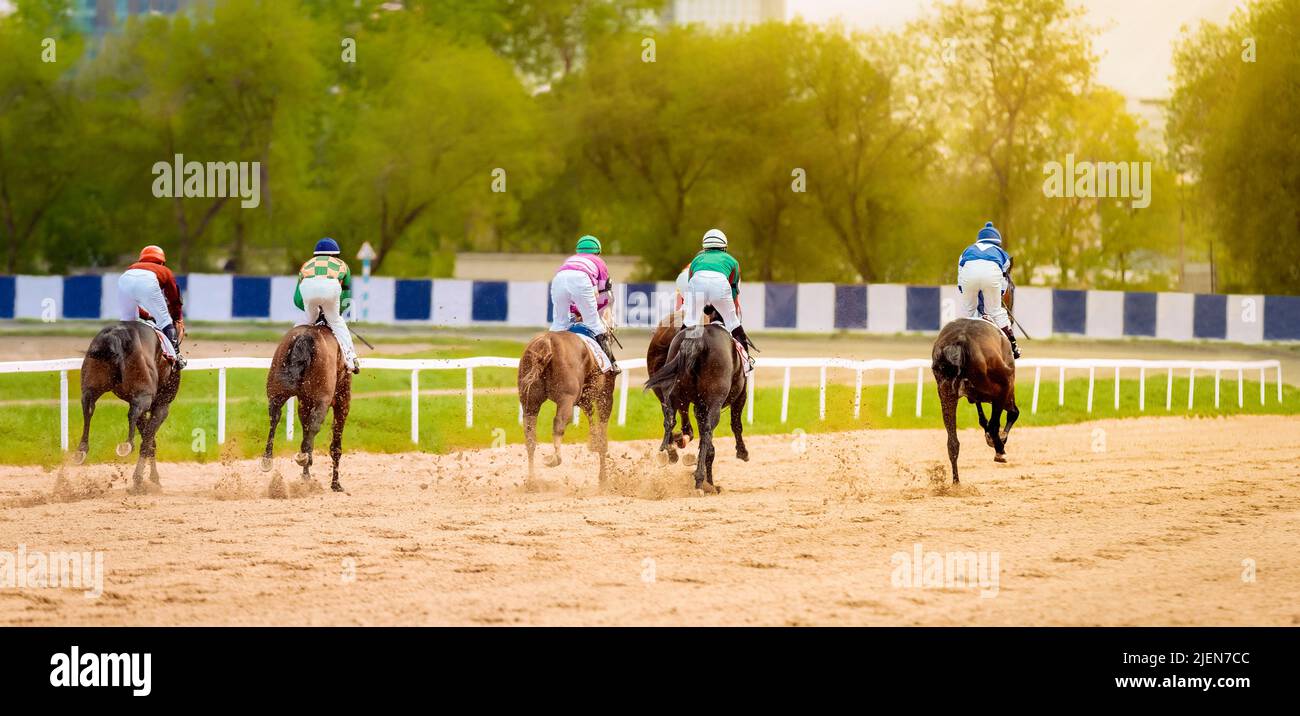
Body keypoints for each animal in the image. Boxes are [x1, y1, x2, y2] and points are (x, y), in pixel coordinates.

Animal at [75, 320, 183, 493]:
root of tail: (115, 336)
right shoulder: (162, 406)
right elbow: (148, 441)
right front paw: (144, 480)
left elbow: (149, 439)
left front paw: (151, 479)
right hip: (143, 395)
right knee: (132, 412)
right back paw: (127, 446)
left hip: (91, 385)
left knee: (88, 407)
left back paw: (82, 450)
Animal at [261, 324, 351, 493]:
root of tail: (305, 337)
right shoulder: (342, 400)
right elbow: (335, 446)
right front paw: (335, 484)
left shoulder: (304, 402)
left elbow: (305, 430)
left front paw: (306, 475)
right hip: (323, 398)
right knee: (315, 425)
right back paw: (304, 458)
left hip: (276, 390)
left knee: (274, 418)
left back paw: (267, 459)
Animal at [514, 319, 616, 488]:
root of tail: (546, 342)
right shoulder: (605, 396)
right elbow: (602, 436)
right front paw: (603, 479)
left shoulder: (584, 399)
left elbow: (592, 420)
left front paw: (593, 442)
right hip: (566, 400)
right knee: (559, 423)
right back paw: (554, 458)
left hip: (530, 402)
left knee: (530, 437)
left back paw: (532, 481)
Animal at [642, 323, 748, 496]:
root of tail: (696, 341)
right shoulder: (739, 396)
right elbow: (736, 425)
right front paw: (742, 452)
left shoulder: (699, 407)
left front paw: (710, 483)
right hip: (714, 403)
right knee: (706, 432)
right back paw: (699, 479)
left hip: (675, 394)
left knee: (670, 420)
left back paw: (666, 453)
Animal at [930, 318, 1019, 480]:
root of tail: (960, 341)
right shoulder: (1006, 389)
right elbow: (1010, 415)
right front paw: (999, 441)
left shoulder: (975, 394)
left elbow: (983, 419)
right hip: (1001, 387)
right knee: (997, 423)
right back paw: (1000, 451)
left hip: (946, 393)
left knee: (952, 442)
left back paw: (956, 482)